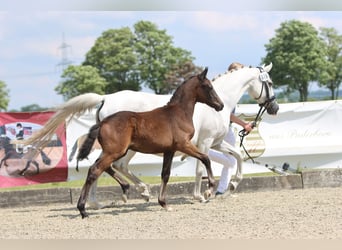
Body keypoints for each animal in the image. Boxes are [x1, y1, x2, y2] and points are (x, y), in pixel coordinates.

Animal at [22, 63, 278, 207]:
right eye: (270, 83)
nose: (274, 107)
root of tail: (104, 98)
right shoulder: (204, 143)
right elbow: (200, 168)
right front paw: (203, 194)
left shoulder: (214, 143)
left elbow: (238, 156)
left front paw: (232, 186)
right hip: (124, 149)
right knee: (108, 166)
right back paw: (110, 199)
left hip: (123, 148)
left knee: (107, 167)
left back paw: (114, 198)